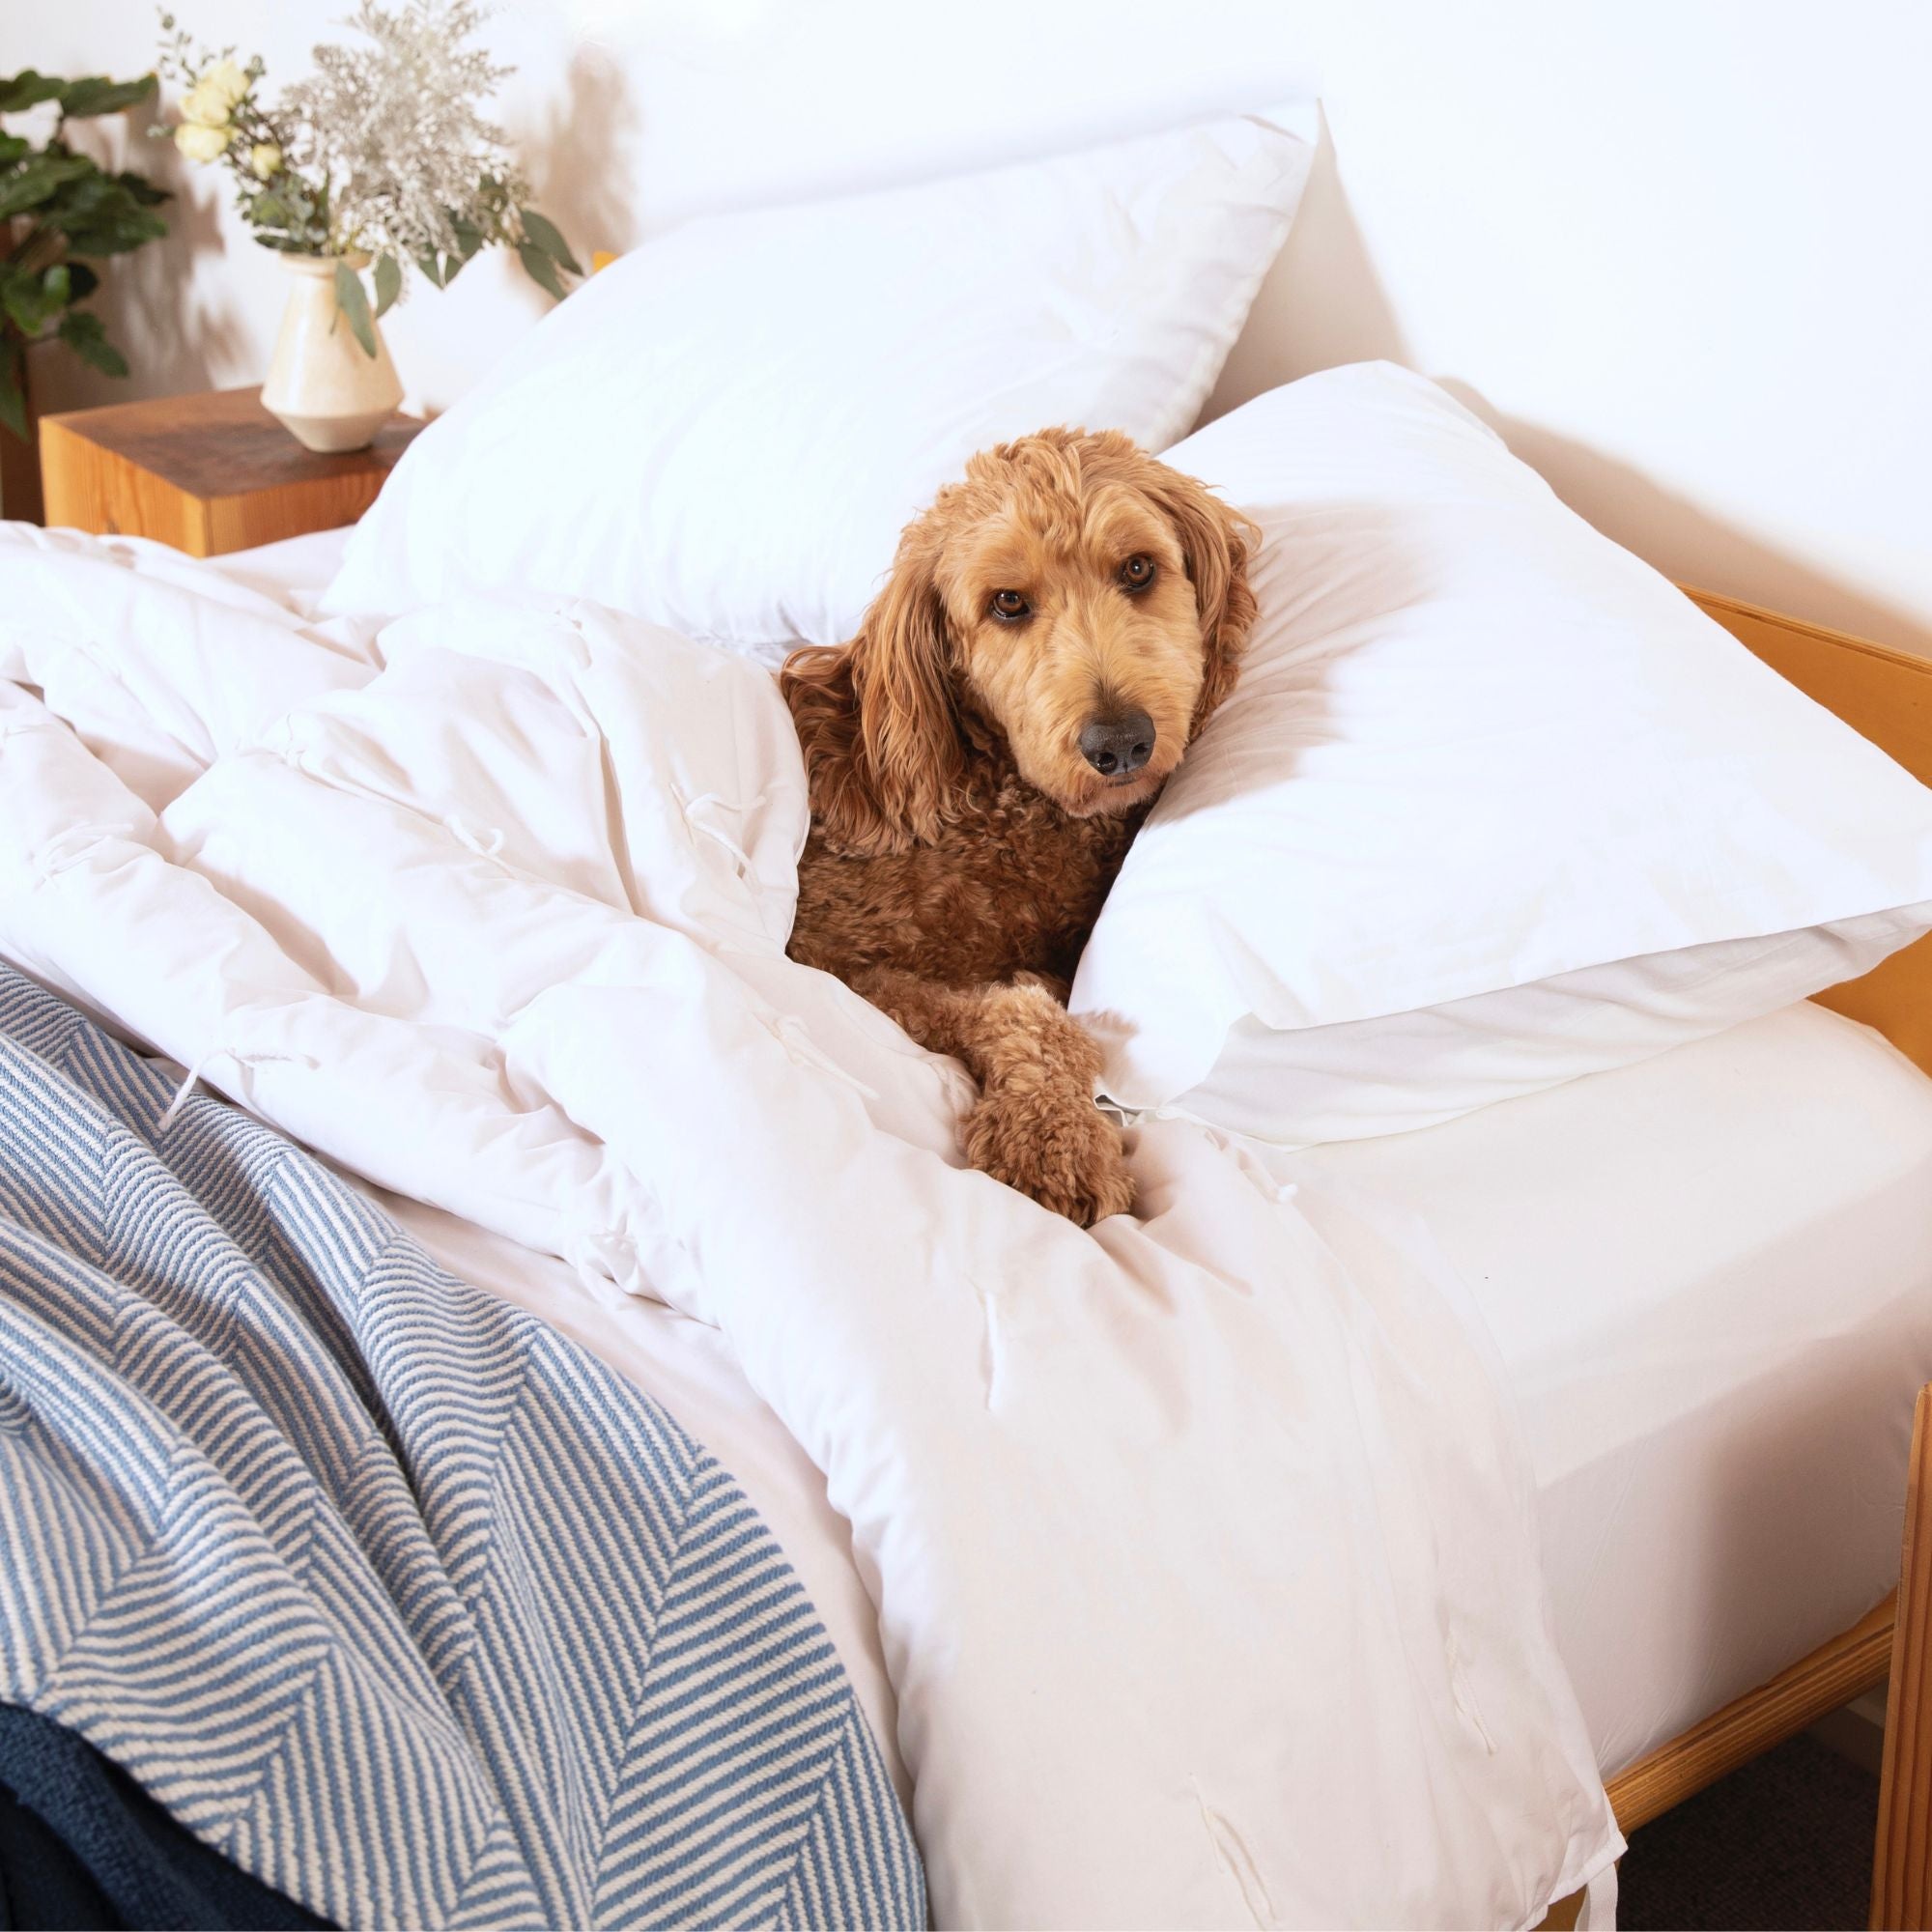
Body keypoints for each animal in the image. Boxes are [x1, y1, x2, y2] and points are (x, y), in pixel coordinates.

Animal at [781, 433, 1252, 1229]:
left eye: (1137, 569)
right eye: (1007, 603)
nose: (1120, 743)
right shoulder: (824, 956)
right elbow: (1021, 1007)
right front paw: (1052, 1139)